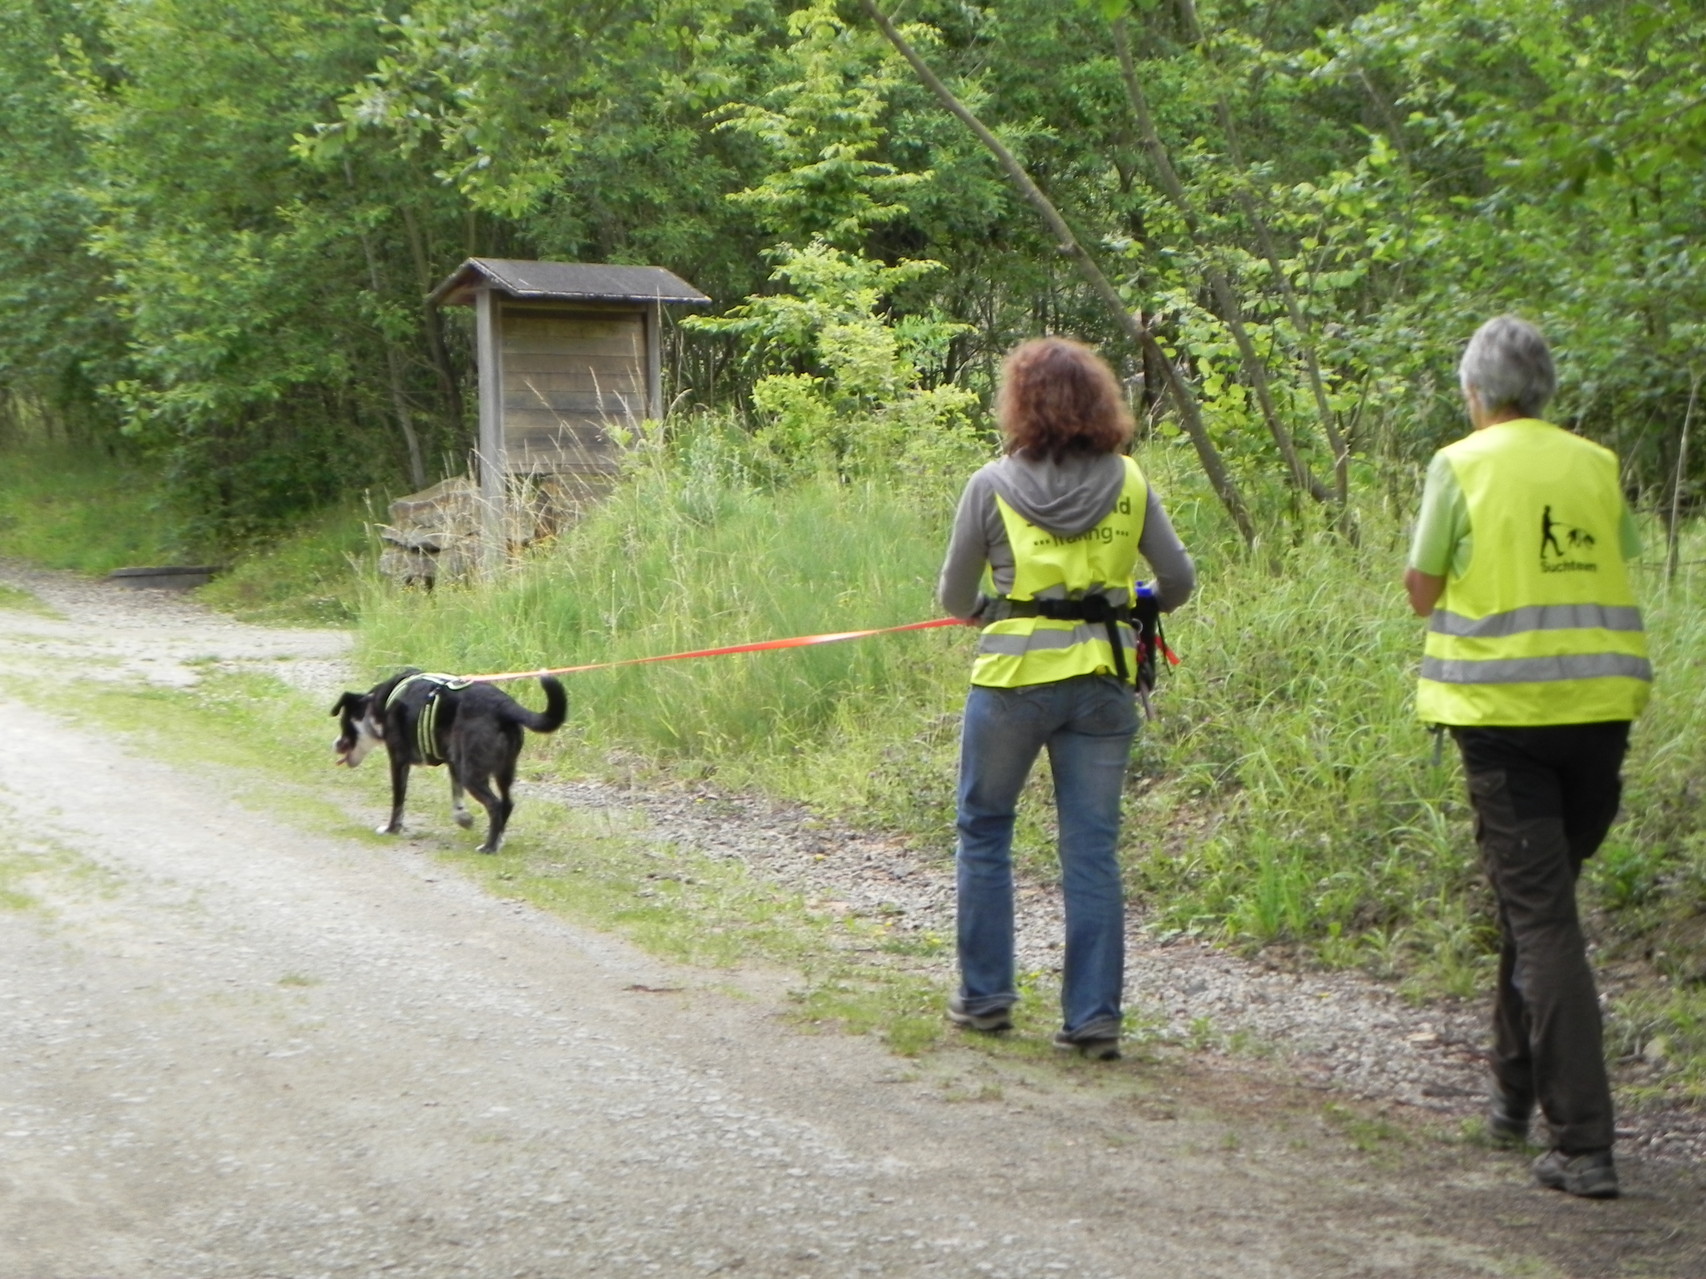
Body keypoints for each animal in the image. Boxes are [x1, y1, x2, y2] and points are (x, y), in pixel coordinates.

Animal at [330, 671, 566, 852]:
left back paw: (489, 847)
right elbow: (457, 801)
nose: (335, 744)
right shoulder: (453, 763)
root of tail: (504, 706)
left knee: (495, 805)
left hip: (472, 773)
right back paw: (497, 841)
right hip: (502, 771)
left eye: (344, 723)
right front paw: (464, 819)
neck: (380, 705)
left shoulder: (398, 759)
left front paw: (391, 829)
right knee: (507, 803)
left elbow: (398, 802)